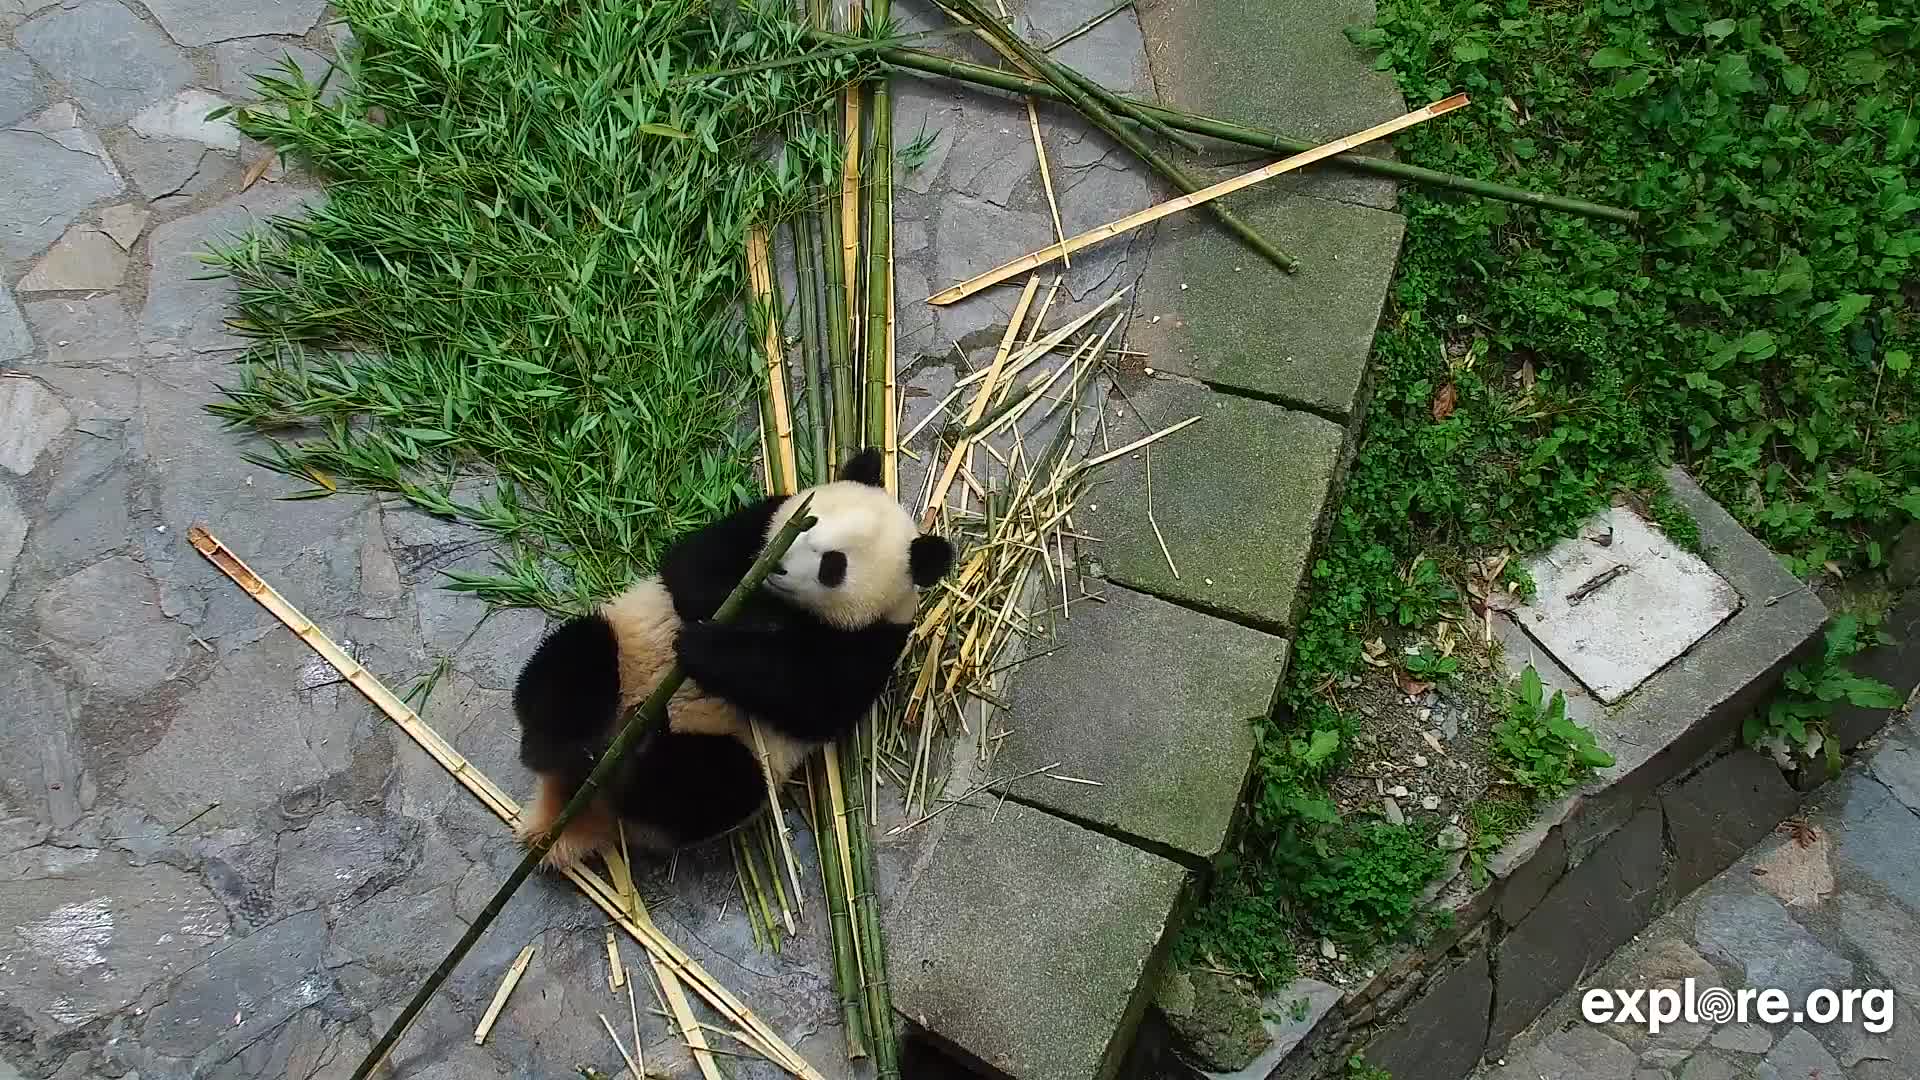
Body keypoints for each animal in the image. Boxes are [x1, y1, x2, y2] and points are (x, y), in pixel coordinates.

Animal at [510, 445, 960, 864]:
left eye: (833, 566)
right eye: (808, 524)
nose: (777, 567)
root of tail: (576, 809)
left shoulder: (874, 641)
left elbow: (809, 695)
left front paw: (710, 646)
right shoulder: (760, 521)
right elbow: (693, 568)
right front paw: (745, 610)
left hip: (727, 757)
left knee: (706, 785)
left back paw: (632, 758)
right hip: (623, 644)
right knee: (574, 662)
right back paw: (566, 747)